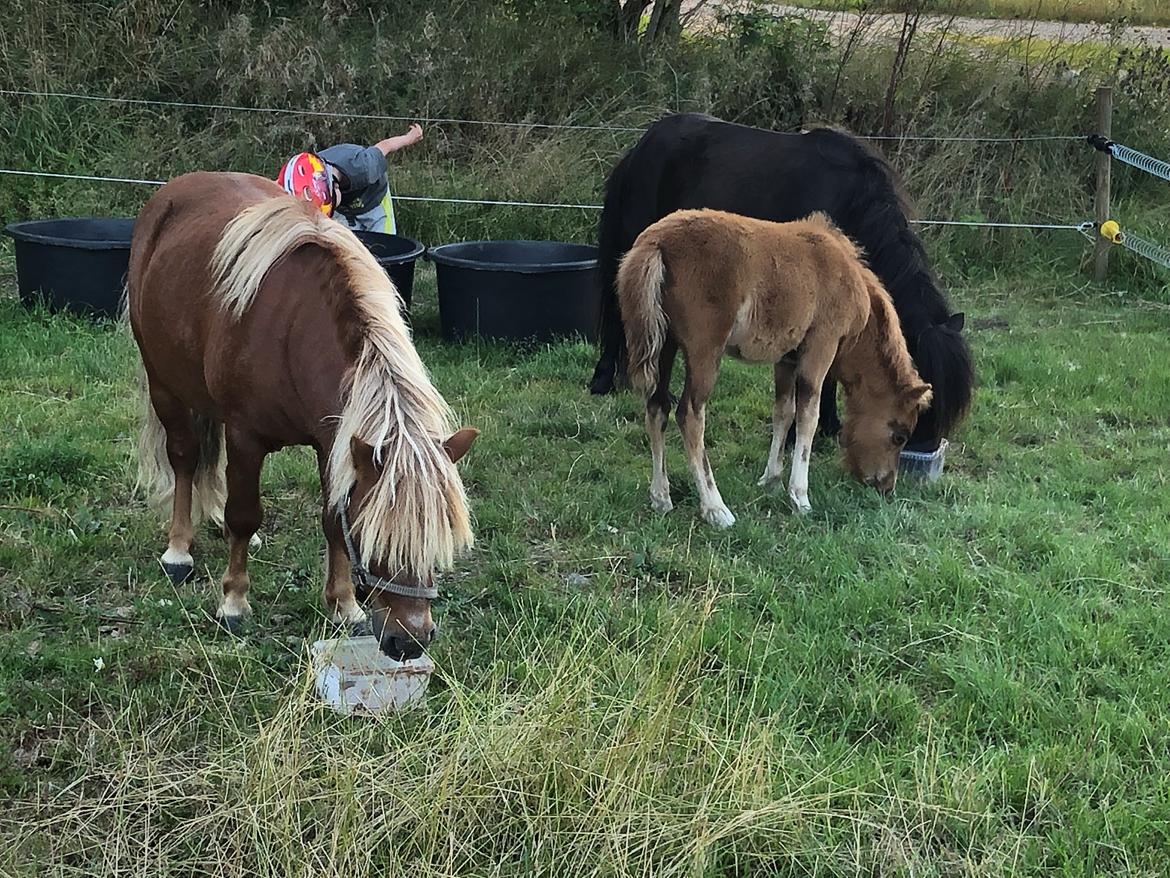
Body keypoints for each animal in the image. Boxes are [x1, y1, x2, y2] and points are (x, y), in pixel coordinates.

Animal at [128, 172, 475, 660]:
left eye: (437, 538)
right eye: (375, 542)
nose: (409, 641)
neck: (294, 333)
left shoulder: (335, 443)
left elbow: (331, 521)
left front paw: (344, 606)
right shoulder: (246, 436)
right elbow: (244, 512)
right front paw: (234, 602)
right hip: (165, 385)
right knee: (185, 459)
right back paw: (179, 551)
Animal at [622, 211, 931, 529]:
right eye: (900, 436)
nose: (886, 487)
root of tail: (657, 242)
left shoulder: (787, 358)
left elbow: (784, 412)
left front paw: (771, 480)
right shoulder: (821, 346)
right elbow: (808, 417)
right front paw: (800, 497)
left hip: (666, 345)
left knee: (657, 407)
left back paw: (661, 497)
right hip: (704, 351)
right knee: (690, 415)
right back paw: (715, 508)